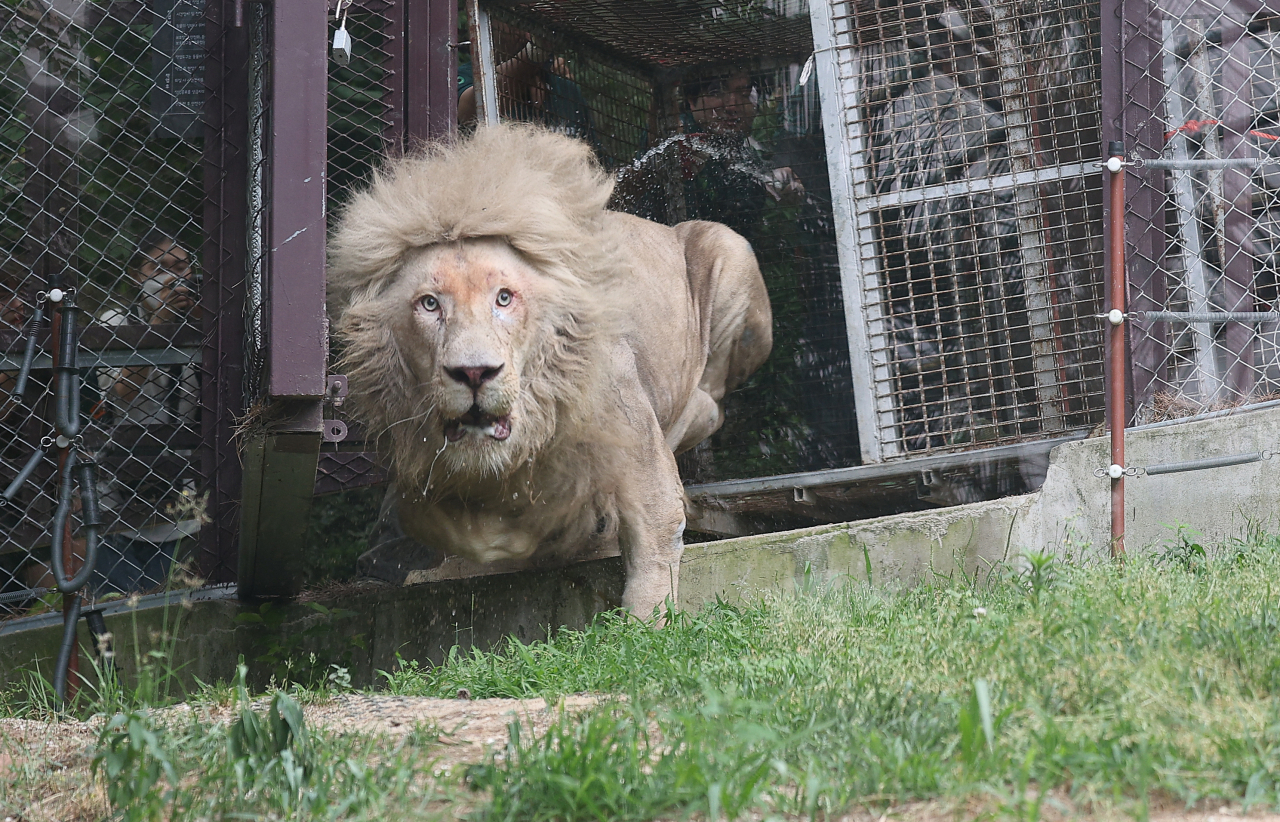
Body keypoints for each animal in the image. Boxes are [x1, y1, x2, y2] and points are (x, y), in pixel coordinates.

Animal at [328, 124, 772, 617]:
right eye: (429, 304)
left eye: (504, 298)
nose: (474, 373)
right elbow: (432, 519)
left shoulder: (627, 426)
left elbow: (656, 520)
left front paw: (647, 618)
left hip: (728, 249)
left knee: (710, 405)